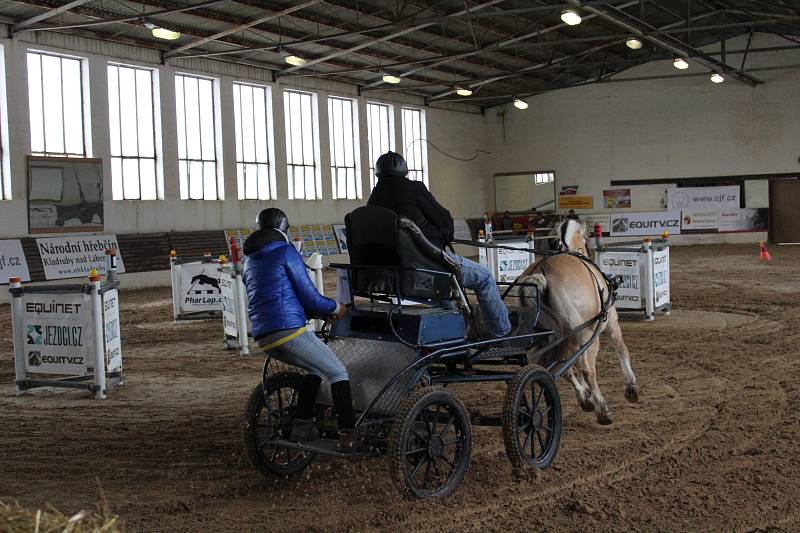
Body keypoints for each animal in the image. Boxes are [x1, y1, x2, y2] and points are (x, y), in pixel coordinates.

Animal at [520, 217, 636, 424]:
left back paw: (585, 399)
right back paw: (602, 409)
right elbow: (622, 348)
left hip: (553, 338)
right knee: (586, 369)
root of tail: (541, 271)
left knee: (557, 367)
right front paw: (631, 387)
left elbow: (568, 365)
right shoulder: (611, 322)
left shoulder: (568, 338)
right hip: (586, 334)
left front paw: (585, 395)